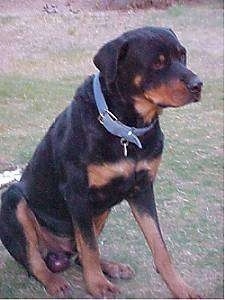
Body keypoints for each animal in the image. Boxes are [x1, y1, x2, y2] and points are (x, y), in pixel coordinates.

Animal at [0, 27, 203, 298]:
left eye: (182, 56)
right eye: (158, 63)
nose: (198, 84)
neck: (127, 128)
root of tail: (57, 252)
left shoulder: (142, 189)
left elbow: (159, 246)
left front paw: (180, 287)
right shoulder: (77, 193)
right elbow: (89, 247)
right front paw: (97, 286)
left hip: (101, 209)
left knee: (77, 253)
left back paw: (112, 267)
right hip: (13, 201)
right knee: (35, 260)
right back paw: (54, 282)